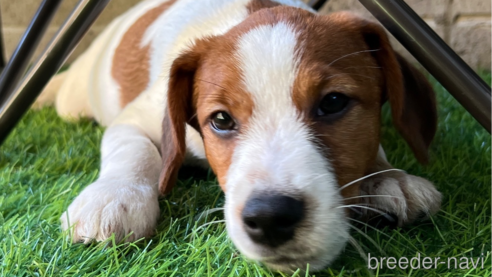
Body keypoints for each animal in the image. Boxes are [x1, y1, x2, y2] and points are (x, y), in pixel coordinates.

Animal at [38, 0, 442, 272]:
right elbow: (135, 150)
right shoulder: (135, 119)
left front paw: (387, 177)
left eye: (333, 102)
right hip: (74, 98)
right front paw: (114, 196)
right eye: (221, 119)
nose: (269, 218)